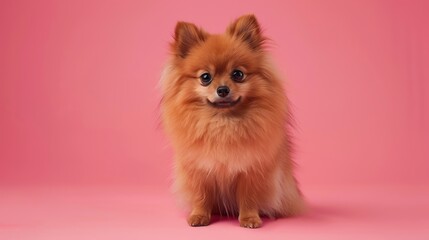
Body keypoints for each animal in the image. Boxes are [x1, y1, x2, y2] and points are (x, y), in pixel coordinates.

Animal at [160, 14, 304, 228]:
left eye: (238, 74)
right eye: (205, 77)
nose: (222, 89)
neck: (223, 123)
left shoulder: (251, 170)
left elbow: (248, 197)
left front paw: (250, 218)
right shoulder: (198, 170)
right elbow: (201, 196)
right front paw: (199, 216)